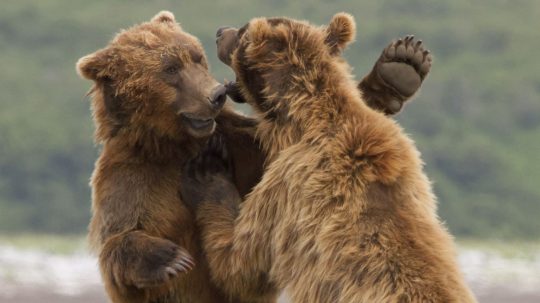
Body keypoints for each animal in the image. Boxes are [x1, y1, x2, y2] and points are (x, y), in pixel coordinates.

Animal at [182, 13, 476, 303]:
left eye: (242, 32)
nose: (221, 31)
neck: (304, 120)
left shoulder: (287, 188)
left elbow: (240, 266)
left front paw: (209, 171)